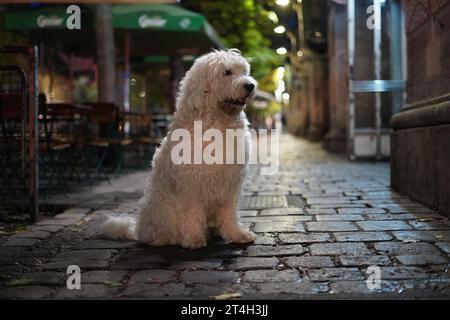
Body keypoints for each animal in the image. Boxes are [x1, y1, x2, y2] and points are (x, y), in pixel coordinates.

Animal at [102, 50, 256, 250]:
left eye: (244, 71)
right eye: (227, 72)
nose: (251, 85)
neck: (218, 122)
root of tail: (138, 231)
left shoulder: (229, 184)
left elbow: (229, 213)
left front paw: (236, 234)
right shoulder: (190, 184)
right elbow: (191, 212)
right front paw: (194, 239)